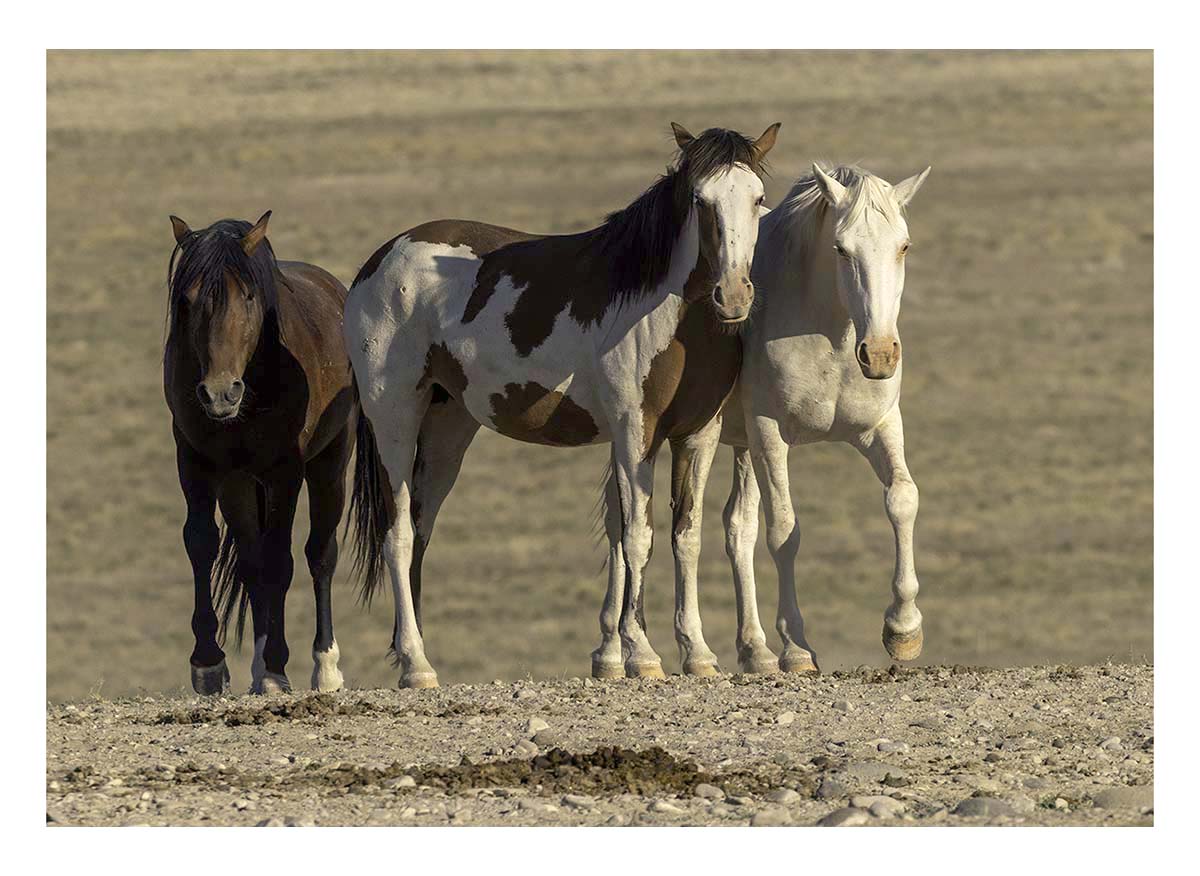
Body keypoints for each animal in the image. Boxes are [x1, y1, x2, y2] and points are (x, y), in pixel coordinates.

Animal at [164, 212, 358, 695]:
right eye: (188, 299)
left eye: (248, 296)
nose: (219, 393)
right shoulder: (195, 460)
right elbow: (202, 543)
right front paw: (208, 664)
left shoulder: (284, 470)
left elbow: (280, 561)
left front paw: (276, 667)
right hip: (238, 483)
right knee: (252, 563)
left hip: (329, 467)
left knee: (319, 555)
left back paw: (325, 668)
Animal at [345, 122, 780, 688]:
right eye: (699, 200)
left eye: (758, 198)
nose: (733, 295)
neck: (667, 313)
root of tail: (379, 263)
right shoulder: (634, 433)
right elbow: (638, 537)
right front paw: (641, 653)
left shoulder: (698, 433)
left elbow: (686, 536)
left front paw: (698, 653)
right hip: (394, 420)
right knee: (397, 534)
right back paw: (417, 666)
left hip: (446, 429)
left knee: (419, 531)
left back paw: (412, 655)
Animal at [602, 163, 931, 674]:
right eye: (841, 248)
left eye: (904, 246)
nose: (879, 354)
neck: (830, 335)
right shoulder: (770, 435)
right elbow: (784, 532)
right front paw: (797, 647)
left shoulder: (878, 428)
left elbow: (902, 498)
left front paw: (903, 629)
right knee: (622, 527)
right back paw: (614, 655)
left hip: (739, 447)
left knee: (738, 528)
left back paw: (754, 650)